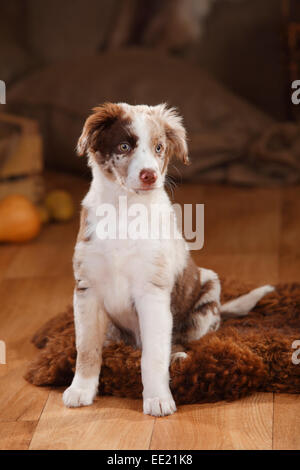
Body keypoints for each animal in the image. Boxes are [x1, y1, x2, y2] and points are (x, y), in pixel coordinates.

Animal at [62, 103, 274, 414]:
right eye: (124, 146)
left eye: (159, 147)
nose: (150, 175)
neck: (126, 209)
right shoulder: (87, 290)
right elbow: (87, 348)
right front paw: (80, 390)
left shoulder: (153, 292)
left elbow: (154, 356)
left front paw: (158, 399)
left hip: (207, 296)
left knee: (184, 342)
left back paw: (179, 357)